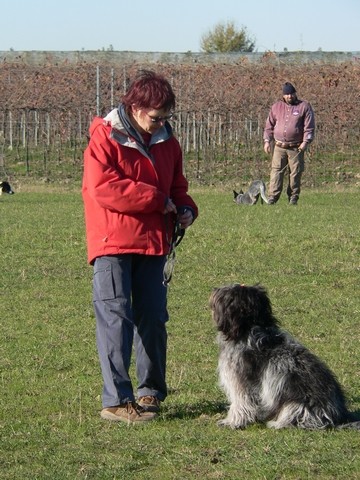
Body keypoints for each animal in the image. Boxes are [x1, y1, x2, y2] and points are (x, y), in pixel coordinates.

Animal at [211, 284, 360, 430]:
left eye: (226, 293)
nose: (214, 290)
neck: (252, 330)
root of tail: (340, 415)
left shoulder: (239, 378)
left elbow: (241, 402)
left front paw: (232, 422)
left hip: (297, 406)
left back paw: (277, 423)